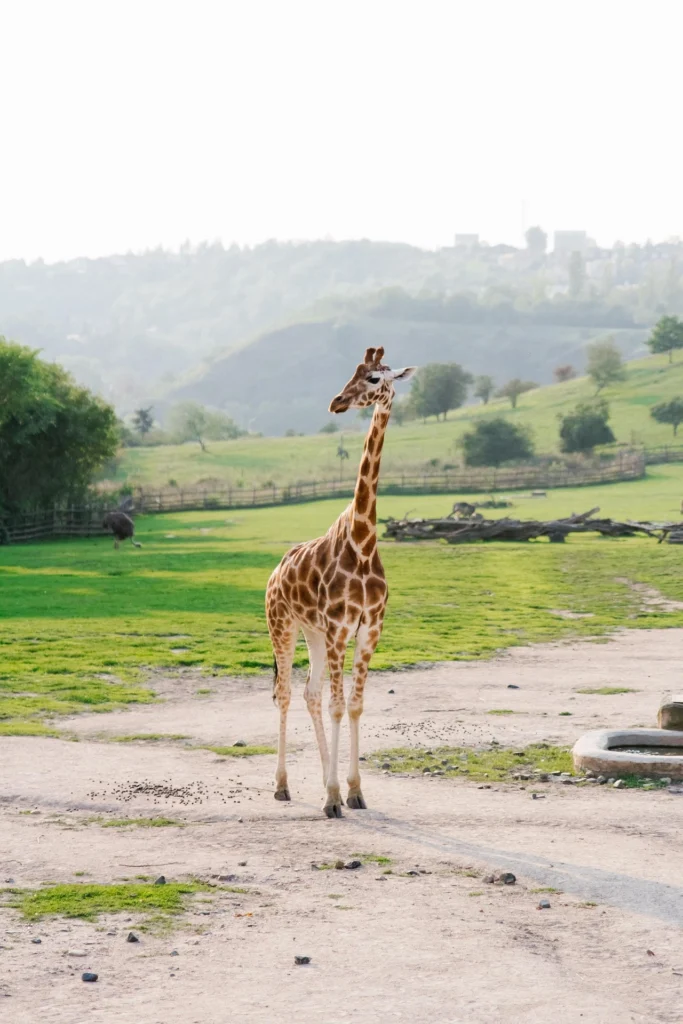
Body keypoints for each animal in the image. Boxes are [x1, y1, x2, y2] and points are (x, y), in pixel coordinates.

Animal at [266, 346, 416, 818]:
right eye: (352, 373)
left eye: (374, 378)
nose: (336, 402)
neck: (364, 542)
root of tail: (274, 572)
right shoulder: (338, 628)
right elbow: (336, 705)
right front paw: (333, 797)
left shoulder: (368, 630)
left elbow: (353, 705)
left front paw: (352, 791)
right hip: (283, 626)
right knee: (286, 693)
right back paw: (282, 786)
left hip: (311, 633)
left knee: (310, 693)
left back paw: (317, 781)